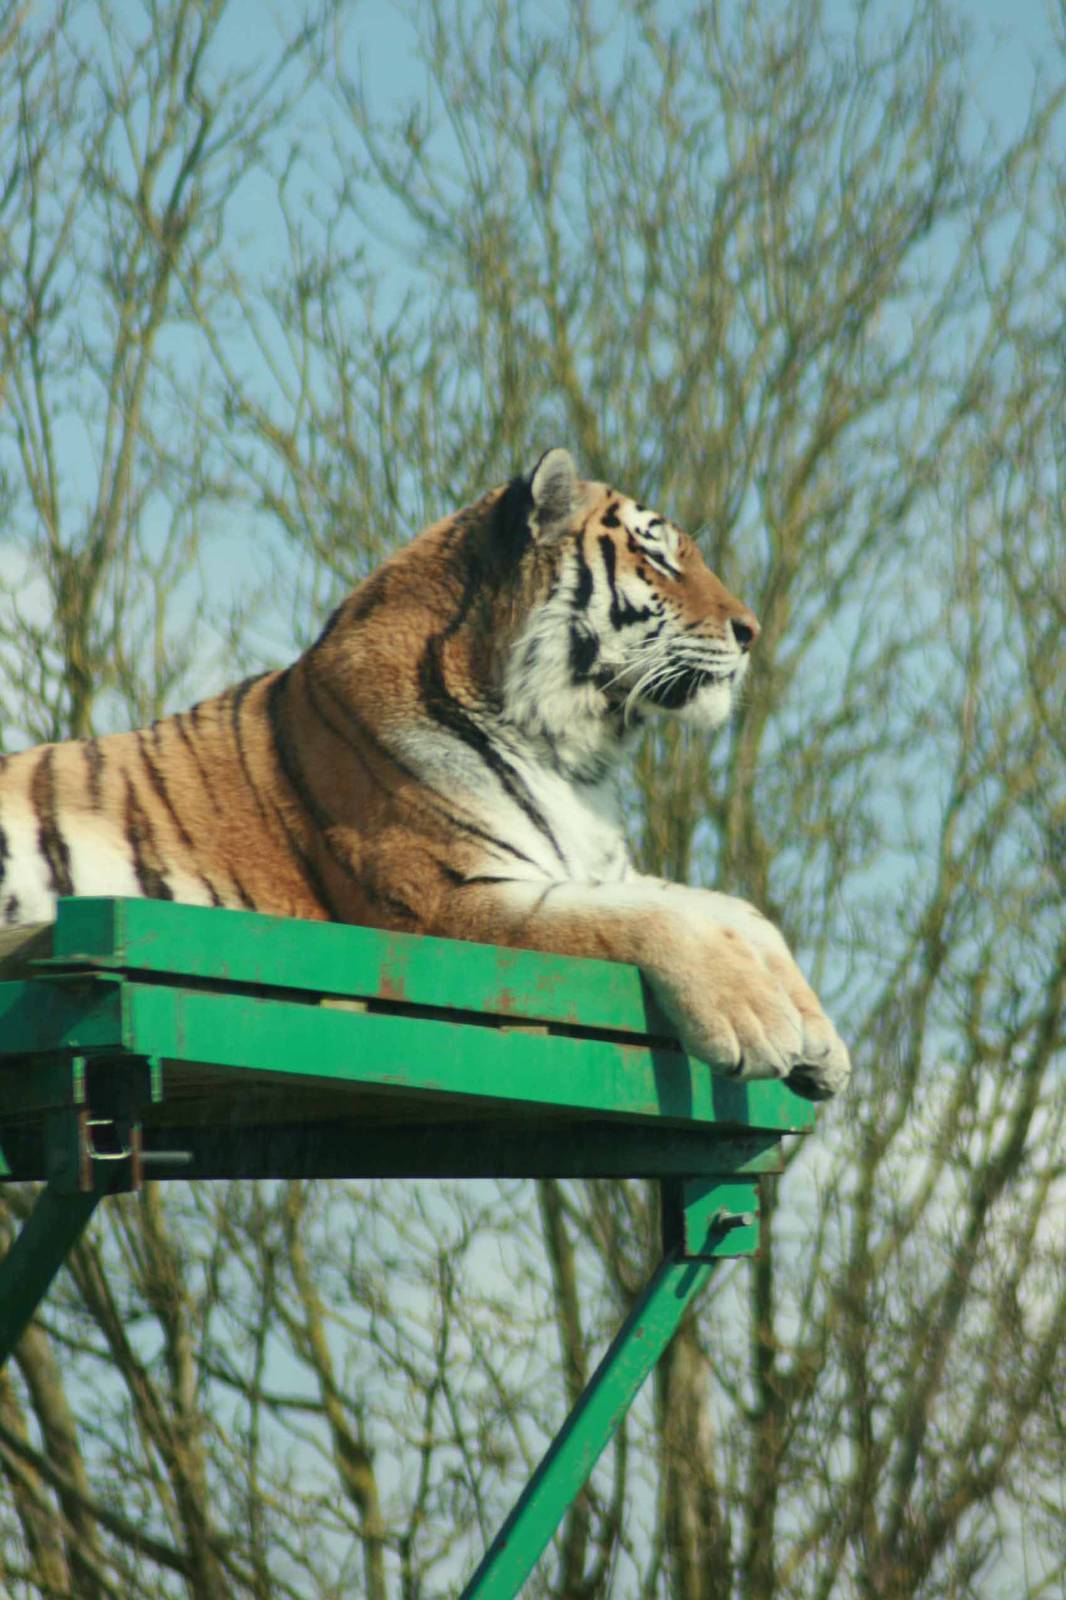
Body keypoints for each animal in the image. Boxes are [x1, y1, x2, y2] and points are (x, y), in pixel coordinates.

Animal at [0, 449, 849, 1098]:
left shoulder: (590, 865)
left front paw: (821, 1041)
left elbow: (733, 911)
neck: (573, 757)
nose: (751, 631)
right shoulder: (444, 901)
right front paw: (755, 1022)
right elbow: (642, 921)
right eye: (657, 555)